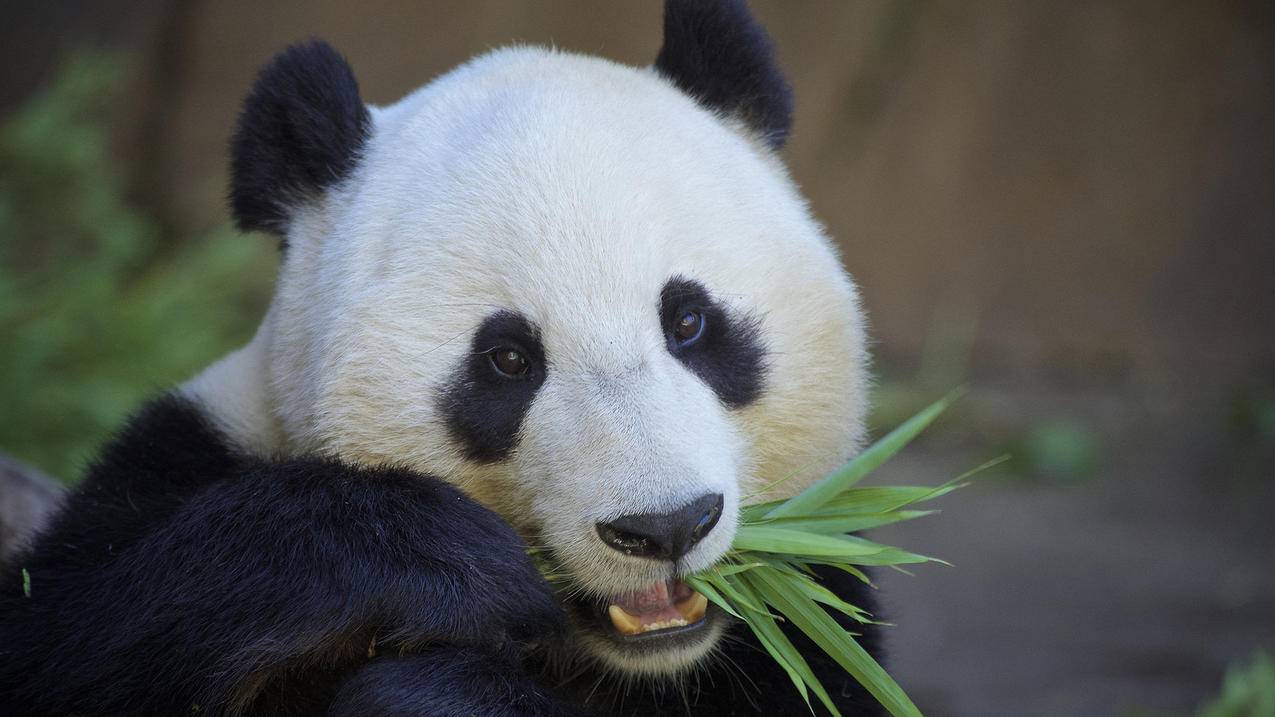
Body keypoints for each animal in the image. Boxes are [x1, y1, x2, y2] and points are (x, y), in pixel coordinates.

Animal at [0, 2, 887, 709]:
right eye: (508, 360)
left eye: (691, 323)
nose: (663, 526)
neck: (624, 660)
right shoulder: (192, 455)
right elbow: (69, 634)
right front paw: (454, 566)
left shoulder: (812, 613)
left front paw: (440, 687)